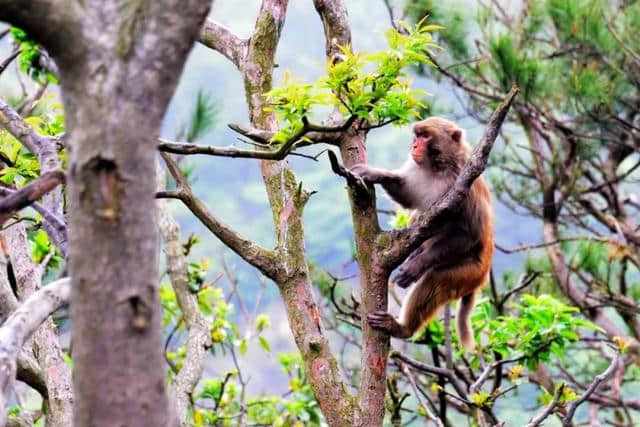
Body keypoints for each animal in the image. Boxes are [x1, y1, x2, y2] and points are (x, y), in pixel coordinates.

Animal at [350, 117, 496, 352]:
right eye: (417, 135)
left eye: (425, 136)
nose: (414, 145)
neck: (439, 167)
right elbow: (407, 196)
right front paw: (374, 173)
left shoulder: (464, 185)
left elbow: (469, 234)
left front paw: (416, 265)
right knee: (418, 215)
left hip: (470, 271)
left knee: (435, 280)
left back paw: (403, 328)